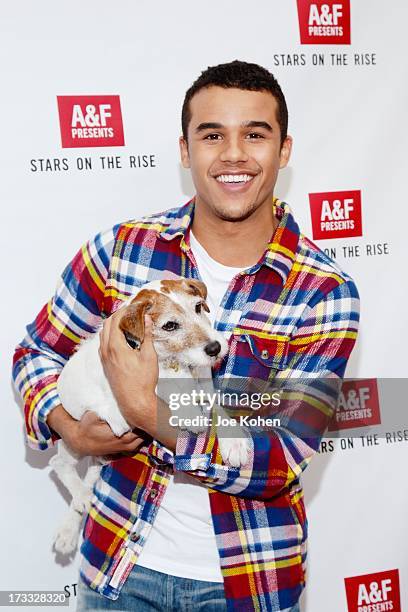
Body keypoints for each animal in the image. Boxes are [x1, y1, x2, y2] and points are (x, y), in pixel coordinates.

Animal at [49, 280, 250, 556]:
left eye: (198, 307)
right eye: (170, 325)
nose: (215, 348)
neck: (175, 362)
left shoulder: (205, 389)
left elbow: (217, 409)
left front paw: (235, 441)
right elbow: (163, 388)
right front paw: (189, 413)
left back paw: (70, 527)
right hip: (75, 441)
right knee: (58, 464)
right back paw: (80, 497)